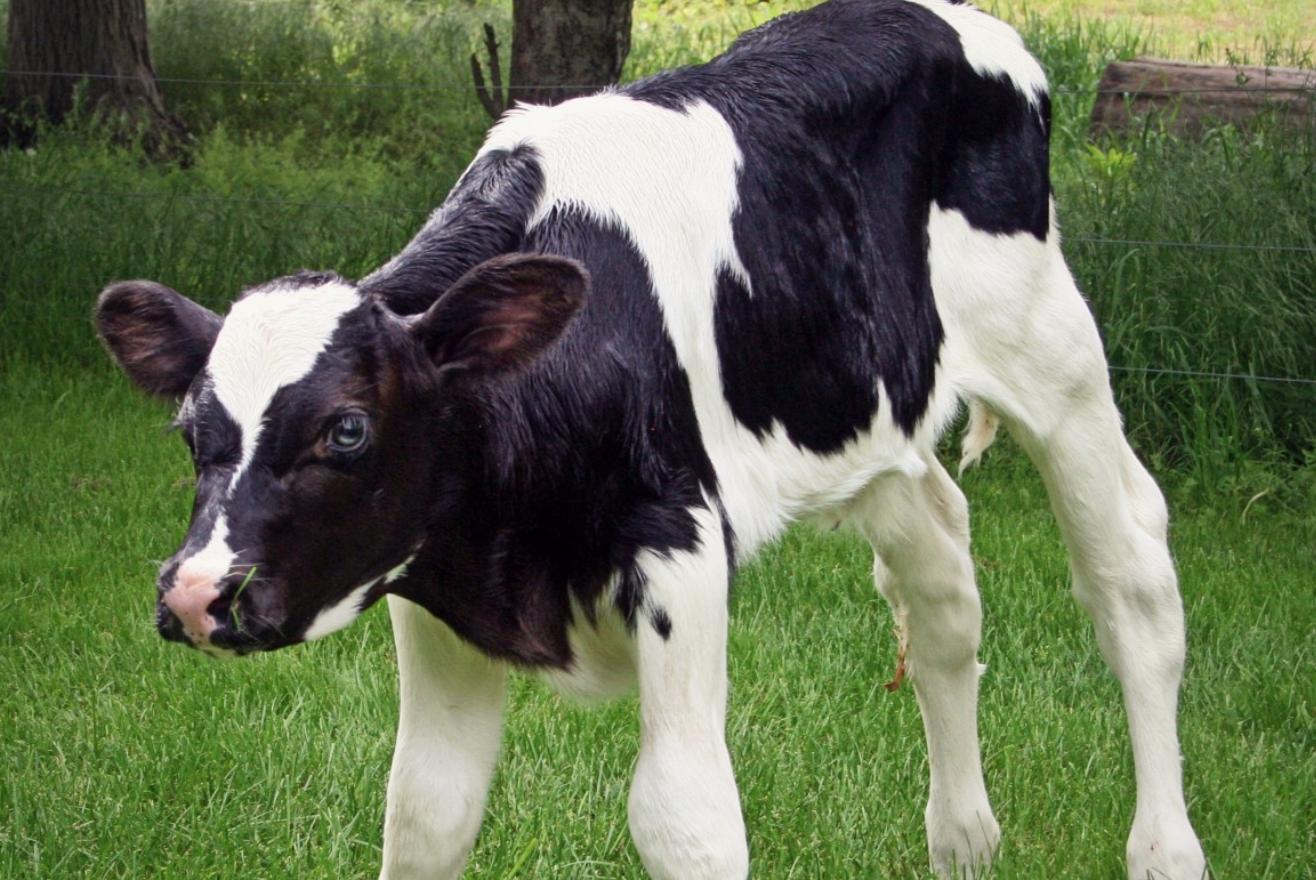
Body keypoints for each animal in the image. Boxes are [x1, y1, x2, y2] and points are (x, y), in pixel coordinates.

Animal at [94, 1, 1207, 877]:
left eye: (348, 428)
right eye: (191, 430)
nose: (197, 595)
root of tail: (960, 21)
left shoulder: (679, 550)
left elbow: (685, 818)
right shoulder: (429, 578)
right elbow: (427, 808)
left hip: (1054, 353)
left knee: (1132, 582)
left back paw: (1163, 849)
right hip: (874, 420)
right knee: (940, 582)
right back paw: (963, 840)